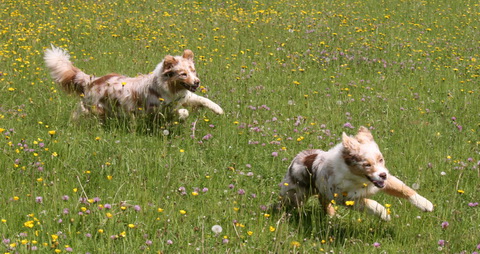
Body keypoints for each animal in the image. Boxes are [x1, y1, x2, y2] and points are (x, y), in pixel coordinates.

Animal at [44, 45, 224, 120]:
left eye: (193, 71)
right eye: (183, 74)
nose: (197, 82)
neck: (168, 88)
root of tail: (92, 80)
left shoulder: (184, 97)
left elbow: (203, 99)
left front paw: (218, 109)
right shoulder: (155, 110)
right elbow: (179, 112)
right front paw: (182, 114)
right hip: (96, 108)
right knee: (80, 113)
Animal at [280, 126, 434, 220]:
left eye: (380, 159)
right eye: (366, 165)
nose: (383, 175)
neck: (358, 178)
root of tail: (299, 157)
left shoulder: (384, 180)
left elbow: (403, 188)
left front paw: (426, 204)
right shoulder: (345, 197)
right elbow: (369, 202)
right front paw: (384, 214)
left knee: (323, 200)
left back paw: (332, 216)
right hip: (296, 195)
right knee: (287, 203)